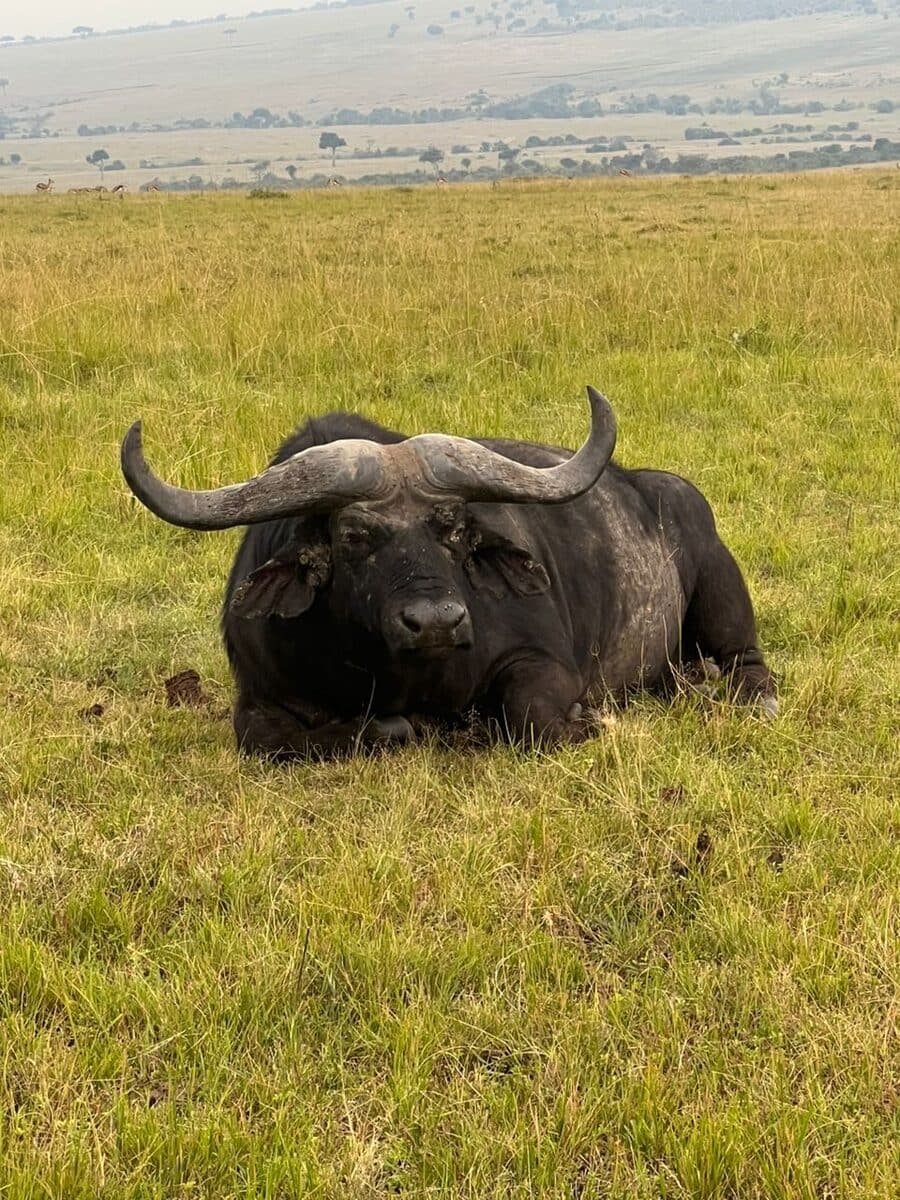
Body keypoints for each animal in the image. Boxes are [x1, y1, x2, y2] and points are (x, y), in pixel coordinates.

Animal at [120, 388, 777, 759]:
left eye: (455, 529)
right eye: (353, 536)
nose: (436, 621)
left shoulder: (542, 662)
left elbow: (533, 719)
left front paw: (584, 720)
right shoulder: (260, 695)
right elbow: (272, 739)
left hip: (721, 590)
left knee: (746, 662)